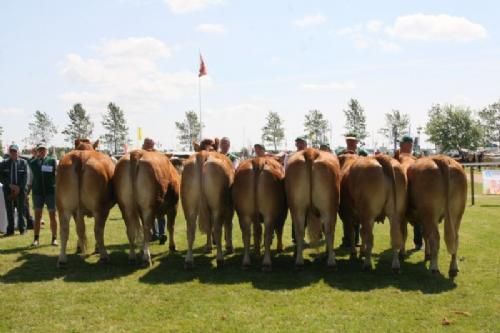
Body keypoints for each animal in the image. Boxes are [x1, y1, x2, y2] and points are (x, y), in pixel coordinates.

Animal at [182, 140, 234, 268]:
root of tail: (203, 154)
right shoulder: (229, 206)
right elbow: (228, 225)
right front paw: (229, 247)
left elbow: (209, 226)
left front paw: (208, 246)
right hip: (217, 205)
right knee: (218, 228)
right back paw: (220, 259)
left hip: (189, 205)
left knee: (190, 230)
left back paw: (189, 260)